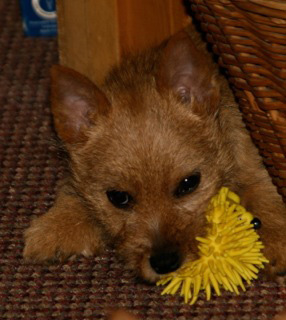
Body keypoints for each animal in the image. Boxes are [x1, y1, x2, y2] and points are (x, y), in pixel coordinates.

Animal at [23, 28, 286, 282]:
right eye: (118, 197)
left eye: (189, 184)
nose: (165, 263)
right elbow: (74, 188)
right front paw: (57, 225)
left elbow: (263, 188)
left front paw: (274, 239)